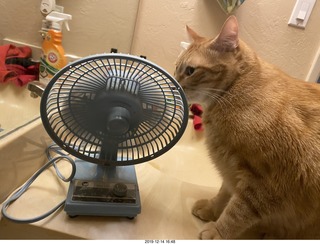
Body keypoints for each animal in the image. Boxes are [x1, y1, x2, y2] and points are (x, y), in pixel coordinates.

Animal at [175, 16, 320, 239]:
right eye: (176, 67)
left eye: (190, 71)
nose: (174, 82)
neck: (234, 91)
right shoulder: (230, 167)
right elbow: (224, 193)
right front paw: (211, 209)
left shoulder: (264, 185)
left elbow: (236, 213)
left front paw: (217, 232)